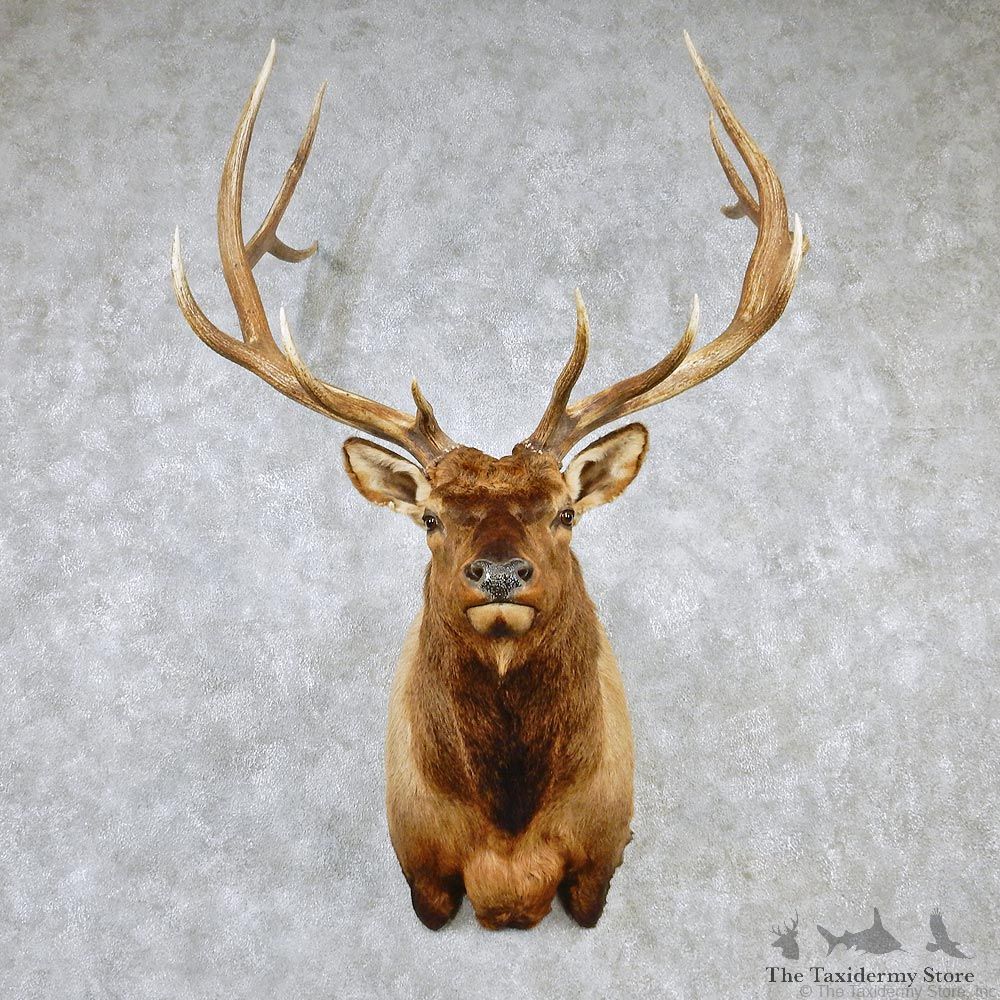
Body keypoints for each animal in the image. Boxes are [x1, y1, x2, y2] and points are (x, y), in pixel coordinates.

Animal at [170, 32, 805, 930]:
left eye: (567, 512)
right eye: (432, 517)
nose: (501, 573)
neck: (509, 837)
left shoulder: (603, 858)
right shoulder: (420, 867)